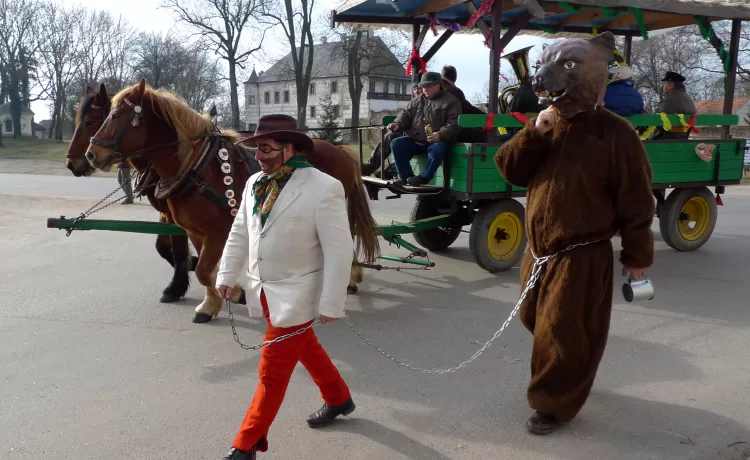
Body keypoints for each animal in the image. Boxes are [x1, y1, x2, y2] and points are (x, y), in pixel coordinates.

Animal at [66, 84, 198, 304]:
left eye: (89, 122)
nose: (71, 163)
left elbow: (179, 248)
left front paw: (176, 286)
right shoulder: (166, 212)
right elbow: (163, 247)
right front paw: (191, 266)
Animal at [87, 78, 382, 324]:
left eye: (116, 115)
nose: (91, 154)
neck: (198, 167)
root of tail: (340, 150)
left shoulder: (218, 231)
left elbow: (204, 269)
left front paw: (237, 293)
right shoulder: (196, 232)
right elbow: (205, 270)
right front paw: (210, 305)